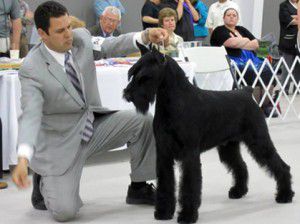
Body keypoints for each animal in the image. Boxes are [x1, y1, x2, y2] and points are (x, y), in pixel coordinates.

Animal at [123, 44, 294, 224]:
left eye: (144, 76)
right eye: (132, 73)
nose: (127, 94)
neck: (173, 101)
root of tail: (246, 93)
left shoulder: (189, 155)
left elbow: (189, 185)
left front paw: (187, 215)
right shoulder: (163, 154)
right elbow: (165, 183)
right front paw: (163, 212)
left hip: (259, 141)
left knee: (281, 166)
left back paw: (285, 195)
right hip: (228, 147)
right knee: (240, 166)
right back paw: (238, 191)